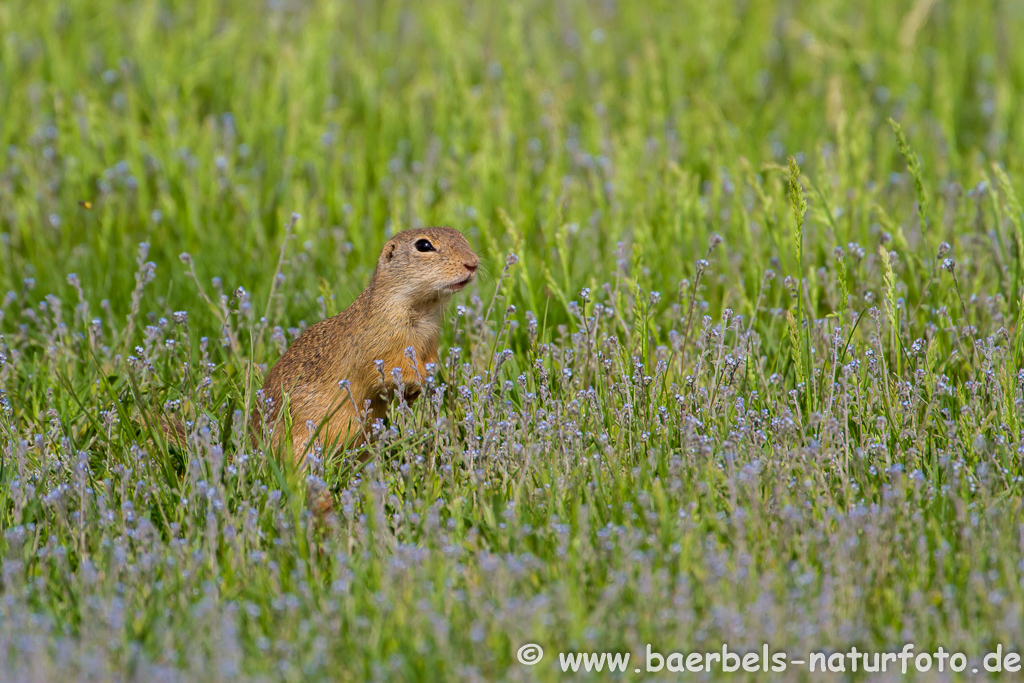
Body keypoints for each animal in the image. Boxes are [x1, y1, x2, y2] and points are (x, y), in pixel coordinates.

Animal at [256, 227, 479, 456]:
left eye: (461, 236)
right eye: (424, 245)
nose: (473, 263)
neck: (423, 310)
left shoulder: (430, 343)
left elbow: (430, 360)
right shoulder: (382, 348)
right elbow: (390, 369)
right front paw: (422, 379)